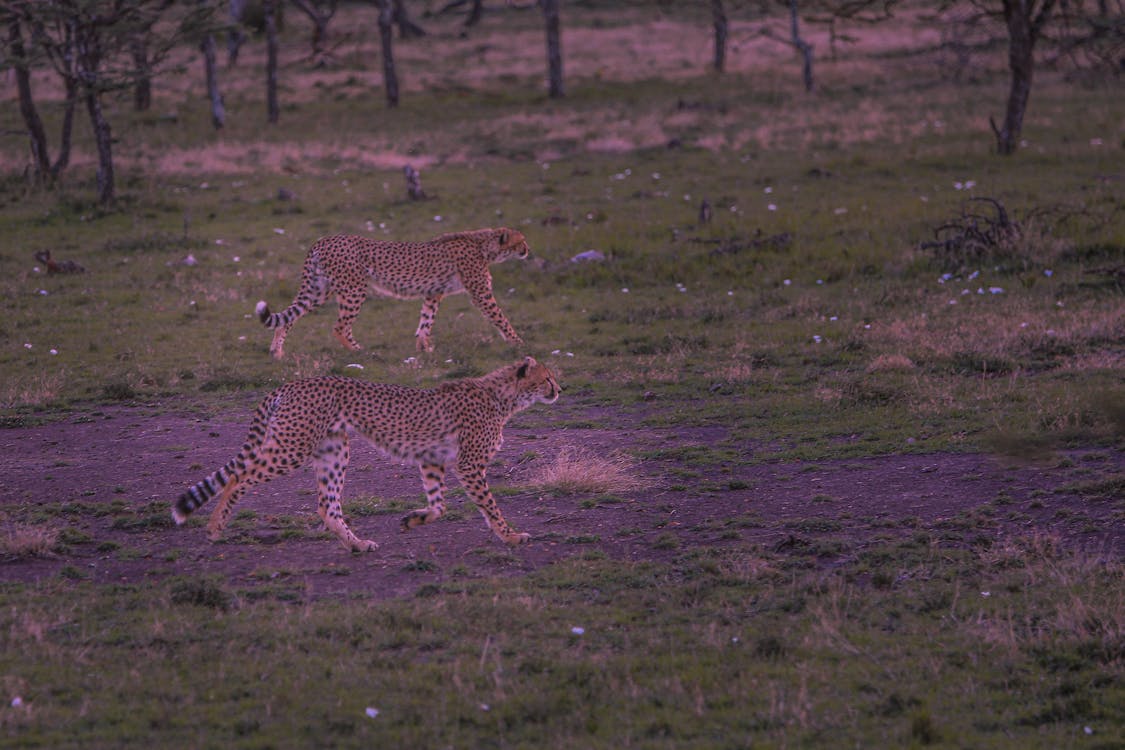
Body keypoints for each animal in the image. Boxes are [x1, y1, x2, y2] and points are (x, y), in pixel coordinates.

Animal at [169, 355, 558, 555]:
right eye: (547, 378)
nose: (560, 388)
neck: (503, 397)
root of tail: (291, 383)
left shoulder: (432, 459)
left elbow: (439, 505)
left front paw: (412, 520)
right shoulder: (469, 464)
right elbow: (490, 507)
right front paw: (510, 536)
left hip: (334, 450)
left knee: (326, 505)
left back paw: (356, 544)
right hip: (291, 447)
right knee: (238, 477)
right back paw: (215, 527)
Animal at [257, 227, 528, 359]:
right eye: (521, 240)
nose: (528, 249)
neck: (484, 245)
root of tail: (324, 239)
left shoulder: (433, 293)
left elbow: (426, 320)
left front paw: (423, 348)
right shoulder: (481, 293)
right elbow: (501, 318)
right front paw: (519, 344)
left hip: (319, 290)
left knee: (289, 317)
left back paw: (276, 351)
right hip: (354, 288)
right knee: (339, 327)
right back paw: (360, 351)